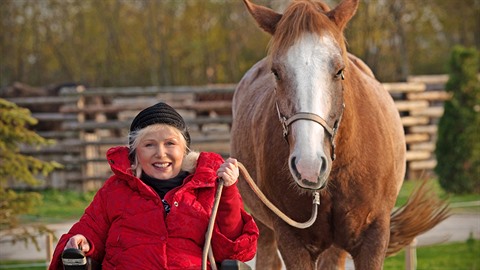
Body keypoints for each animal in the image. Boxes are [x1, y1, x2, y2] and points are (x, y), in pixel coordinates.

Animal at [231, 1, 448, 268]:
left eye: (339, 70)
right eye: (276, 72)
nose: (309, 166)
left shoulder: (373, 239)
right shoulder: (291, 241)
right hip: (266, 229)